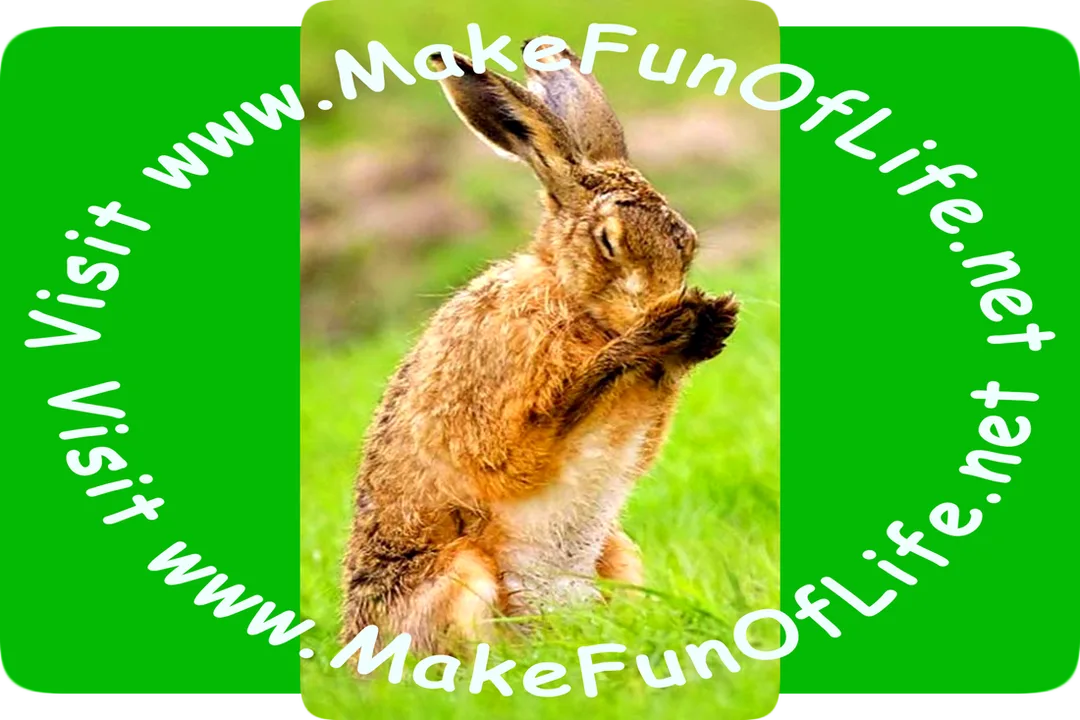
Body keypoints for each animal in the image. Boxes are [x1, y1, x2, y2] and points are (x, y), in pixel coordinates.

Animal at [340, 40, 739, 657]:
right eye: (608, 242)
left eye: (688, 243)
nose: (663, 302)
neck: (573, 300)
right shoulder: (499, 394)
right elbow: (528, 445)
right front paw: (659, 334)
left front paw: (706, 324)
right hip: (462, 575)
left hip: (619, 554)